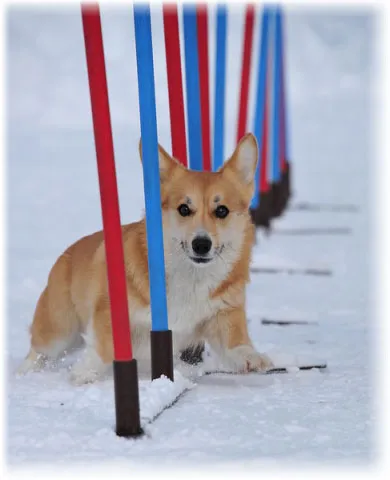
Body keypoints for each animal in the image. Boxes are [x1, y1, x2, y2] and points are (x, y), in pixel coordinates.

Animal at [18, 133, 272, 384]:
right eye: (184, 209)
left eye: (221, 211)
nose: (201, 244)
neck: (191, 276)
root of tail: (67, 254)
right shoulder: (109, 311)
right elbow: (106, 344)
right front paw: (85, 372)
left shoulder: (223, 313)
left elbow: (235, 341)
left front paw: (253, 357)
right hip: (59, 330)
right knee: (38, 350)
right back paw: (24, 372)